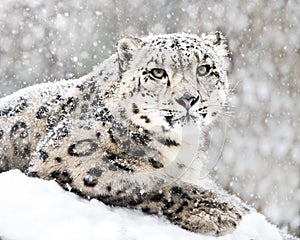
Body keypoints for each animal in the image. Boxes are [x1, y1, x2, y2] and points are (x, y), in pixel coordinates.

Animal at [0, 32, 248, 236]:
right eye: (158, 72)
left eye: (204, 69)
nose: (187, 98)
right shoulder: (64, 152)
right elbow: (141, 183)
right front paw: (216, 210)